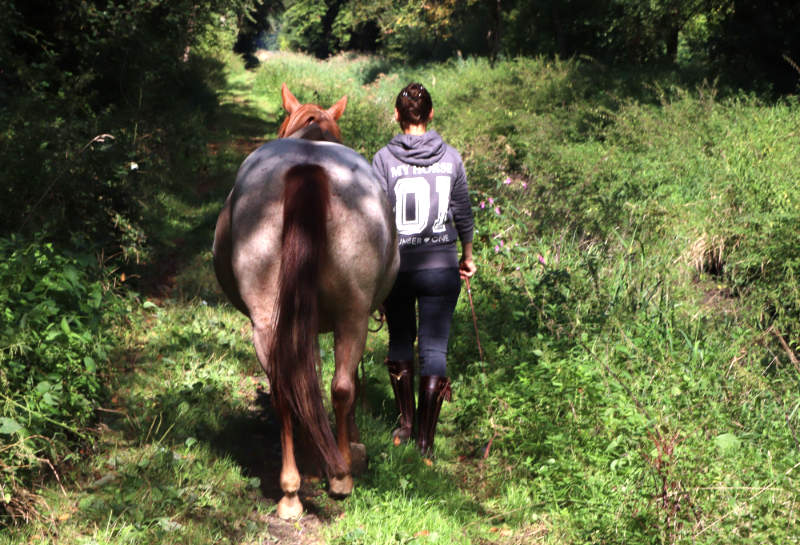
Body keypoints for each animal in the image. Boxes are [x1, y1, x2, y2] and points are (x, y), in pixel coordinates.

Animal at [212, 83, 400, 516]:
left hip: (269, 320)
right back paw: (340, 475)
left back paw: (291, 491)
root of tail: (307, 168)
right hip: (353, 315)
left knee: (287, 391)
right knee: (342, 386)